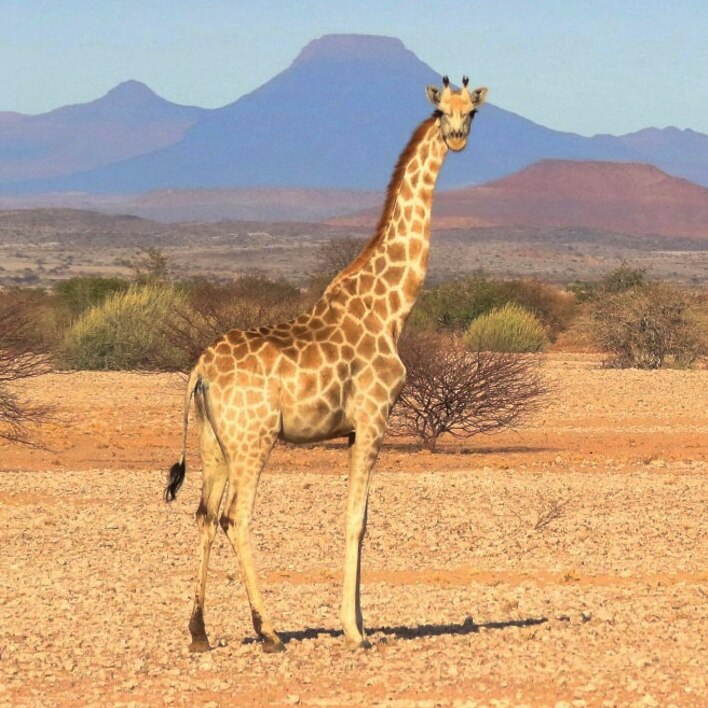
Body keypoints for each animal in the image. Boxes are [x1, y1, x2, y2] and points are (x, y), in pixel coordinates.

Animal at [166, 76, 488, 653]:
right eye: (439, 110)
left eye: (472, 111)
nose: (455, 137)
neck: (390, 310)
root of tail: (200, 369)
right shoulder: (373, 418)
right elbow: (355, 520)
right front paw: (355, 631)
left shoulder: (357, 428)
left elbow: (363, 518)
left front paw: (360, 621)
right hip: (254, 438)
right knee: (235, 517)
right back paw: (268, 630)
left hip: (212, 441)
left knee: (203, 515)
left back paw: (199, 632)